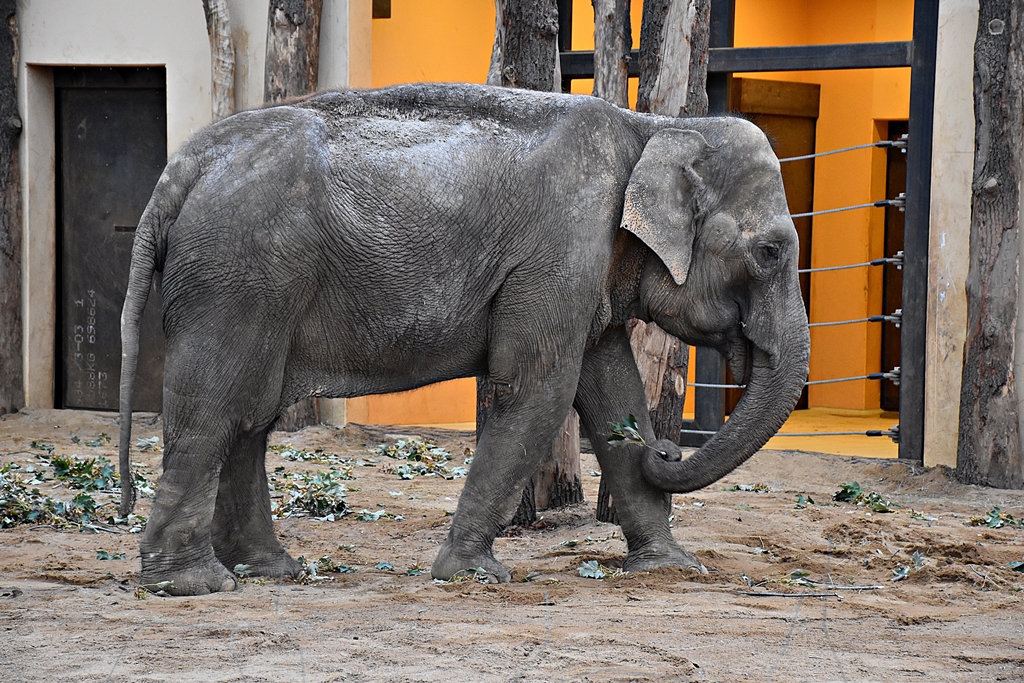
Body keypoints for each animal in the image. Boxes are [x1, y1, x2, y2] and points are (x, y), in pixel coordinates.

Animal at [117, 82, 809, 596]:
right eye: (771, 252)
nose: (667, 449)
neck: (653, 126)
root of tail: (178, 172)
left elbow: (612, 389)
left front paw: (672, 568)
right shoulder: (560, 248)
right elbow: (538, 390)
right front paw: (473, 575)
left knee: (250, 415)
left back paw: (271, 572)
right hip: (235, 274)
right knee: (218, 407)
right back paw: (195, 585)